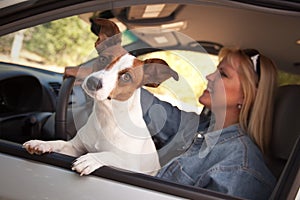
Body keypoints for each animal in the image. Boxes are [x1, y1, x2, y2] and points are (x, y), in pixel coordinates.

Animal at [23, 18, 179, 176]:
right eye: (103, 59)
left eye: (127, 77)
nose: (93, 82)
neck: (107, 117)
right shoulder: (73, 148)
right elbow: (60, 143)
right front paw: (41, 143)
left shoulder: (130, 166)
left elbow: (109, 155)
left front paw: (91, 159)